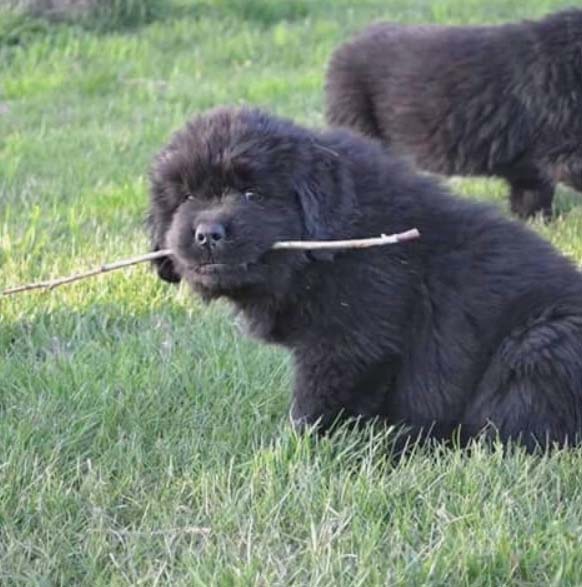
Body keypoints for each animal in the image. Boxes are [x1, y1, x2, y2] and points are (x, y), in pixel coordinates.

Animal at [147, 108, 582, 452]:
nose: (207, 234)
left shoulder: (349, 342)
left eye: (252, 194)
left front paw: (293, 450)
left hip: (542, 344)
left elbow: (317, 404)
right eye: (187, 197)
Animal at [326, 8, 582, 220]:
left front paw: (538, 221)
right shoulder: (562, 149)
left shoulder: (534, 161)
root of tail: (344, 47)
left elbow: (533, 192)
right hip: (357, 119)